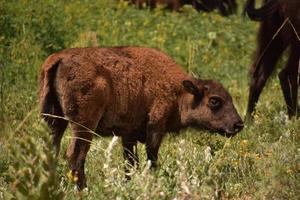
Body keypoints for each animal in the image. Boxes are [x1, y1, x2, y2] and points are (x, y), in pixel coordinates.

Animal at [39, 46, 244, 190]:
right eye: (215, 101)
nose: (238, 125)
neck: (179, 91)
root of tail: (59, 59)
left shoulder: (128, 135)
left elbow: (130, 163)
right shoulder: (155, 129)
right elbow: (151, 159)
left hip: (53, 121)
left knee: (51, 150)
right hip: (83, 126)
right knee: (76, 154)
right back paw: (83, 189)